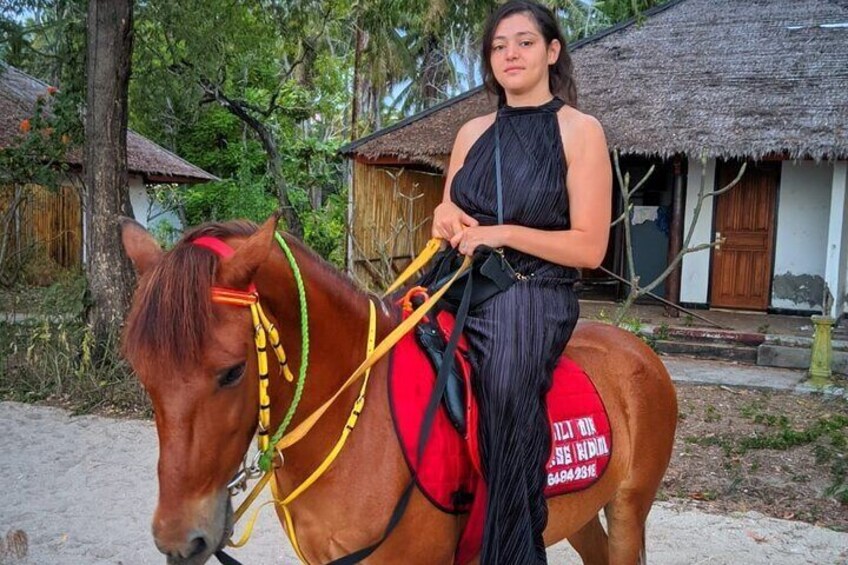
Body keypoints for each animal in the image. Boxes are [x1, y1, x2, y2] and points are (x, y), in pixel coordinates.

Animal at [121, 214, 676, 560]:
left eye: (233, 372)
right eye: (142, 371)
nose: (180, 538)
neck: (354, 421)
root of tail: (639, 349)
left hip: (628, 510)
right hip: (581, 514)